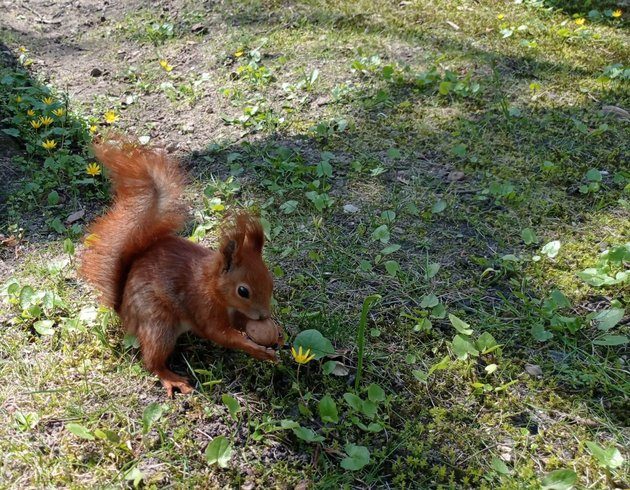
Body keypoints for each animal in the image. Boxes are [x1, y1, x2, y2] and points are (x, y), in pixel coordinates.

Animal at [80, 140, 282, 396]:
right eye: (243, 291)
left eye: (270, 282)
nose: (264, 315)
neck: (213, 286)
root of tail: (123, 311)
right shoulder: (203, 305)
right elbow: (219, 334)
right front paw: (255, 349)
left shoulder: (235, 312)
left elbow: (240, 323)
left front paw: (277, 335)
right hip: (159, 323)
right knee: (152, 360)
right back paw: (171, 378)